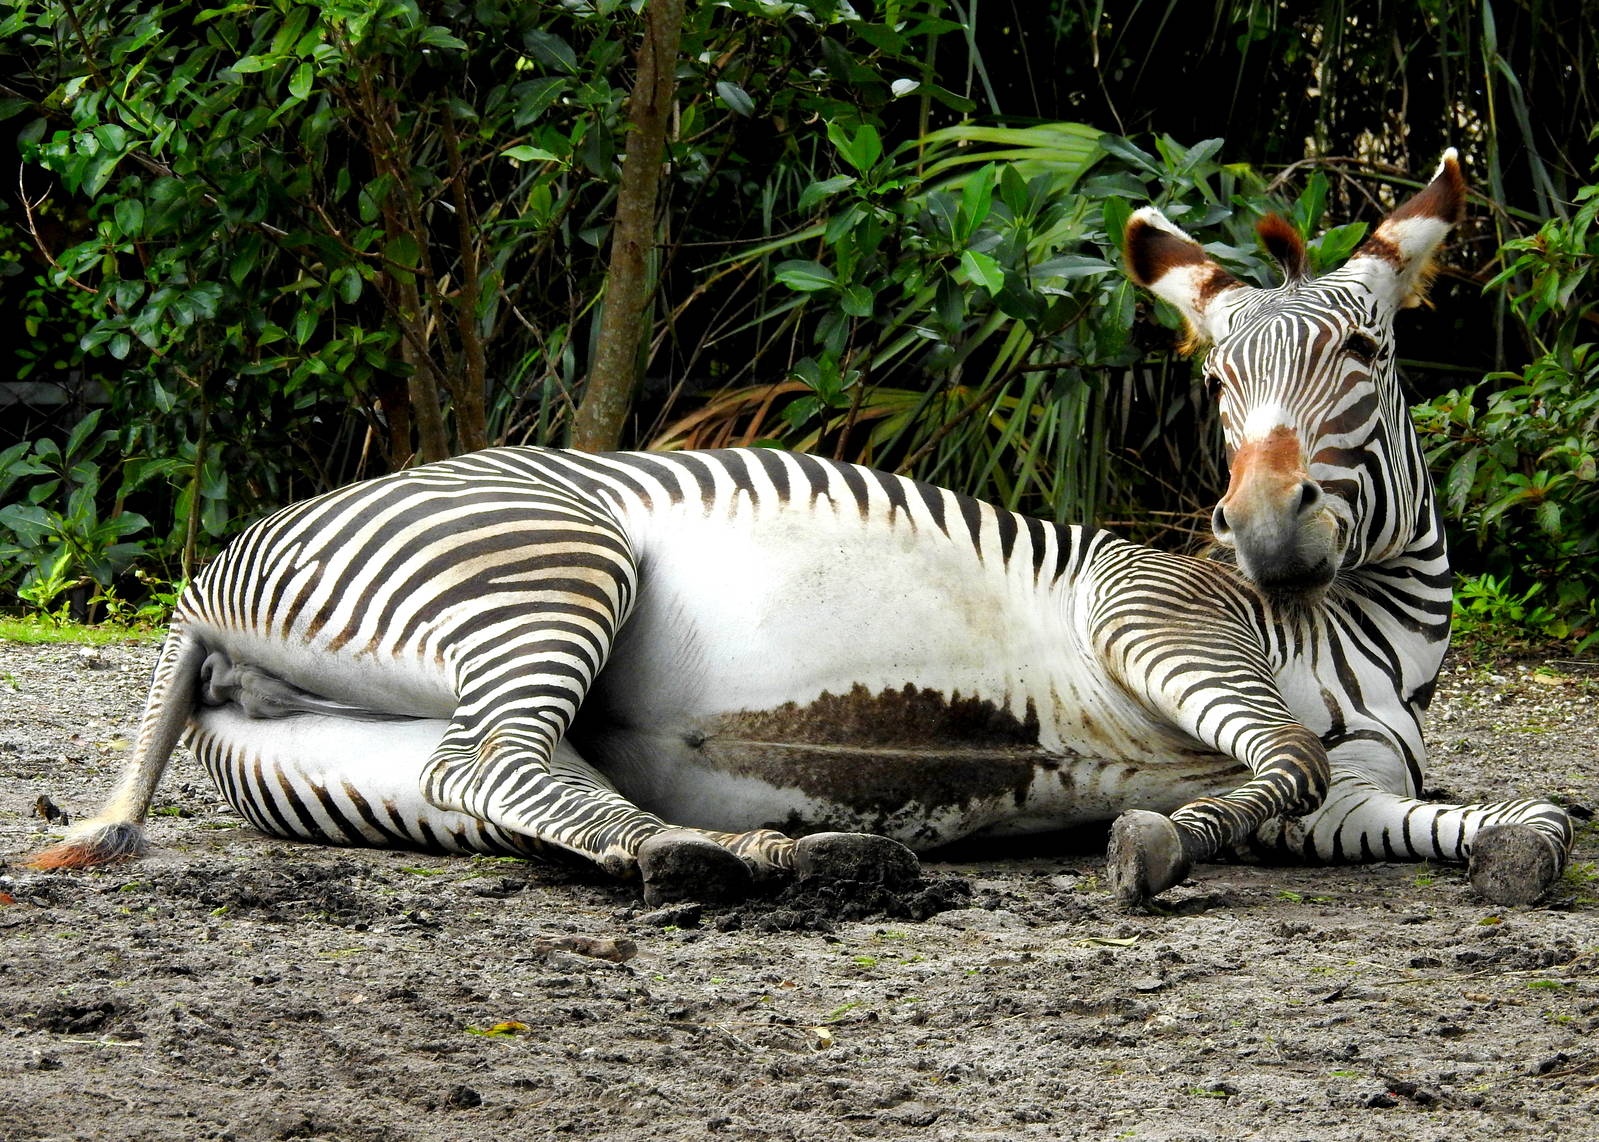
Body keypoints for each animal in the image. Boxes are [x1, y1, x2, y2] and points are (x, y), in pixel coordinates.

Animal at [29, 149, 1572, 908]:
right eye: (1212, 381)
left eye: (1364, 356)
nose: (1256, 529)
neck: (1361, 630)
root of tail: (210, 577)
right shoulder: (1149, 611)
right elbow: (1283, 762)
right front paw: (1162, 842)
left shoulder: (1354, 791)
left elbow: (1450, 814)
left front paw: (1508, 837)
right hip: (549, 569)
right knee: (506, 758)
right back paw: (756, 865)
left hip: (348, 760)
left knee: (501, 784)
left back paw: (726, 856)